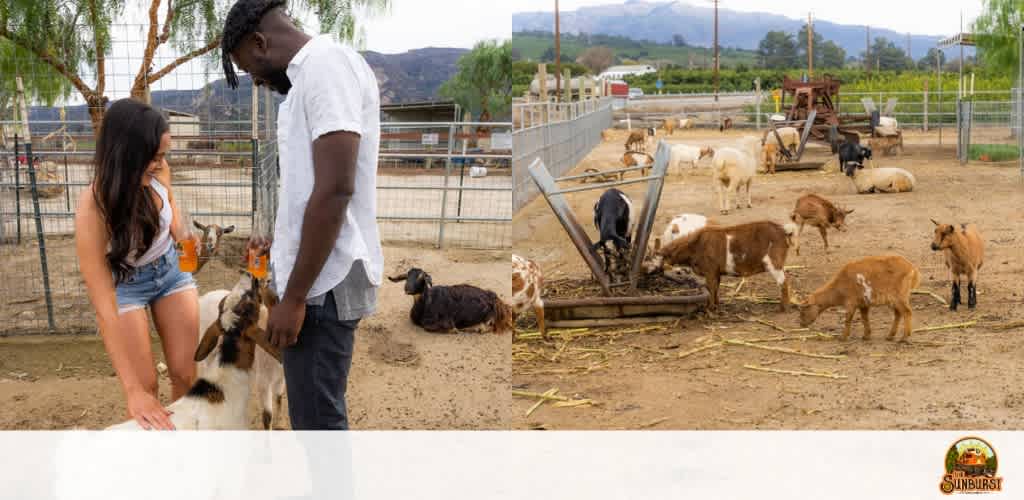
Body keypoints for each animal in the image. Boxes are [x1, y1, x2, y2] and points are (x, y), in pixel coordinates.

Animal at [655, 220, 798, 311]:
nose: (657, 271)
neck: (695, 245)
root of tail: (784, 229)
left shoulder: (710, 270)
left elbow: (711, 288)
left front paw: (710, 310)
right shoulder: (716, 272)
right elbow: (715, 288)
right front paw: (717, 306)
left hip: (773, 263)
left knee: (784, 282)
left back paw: (782, 309)